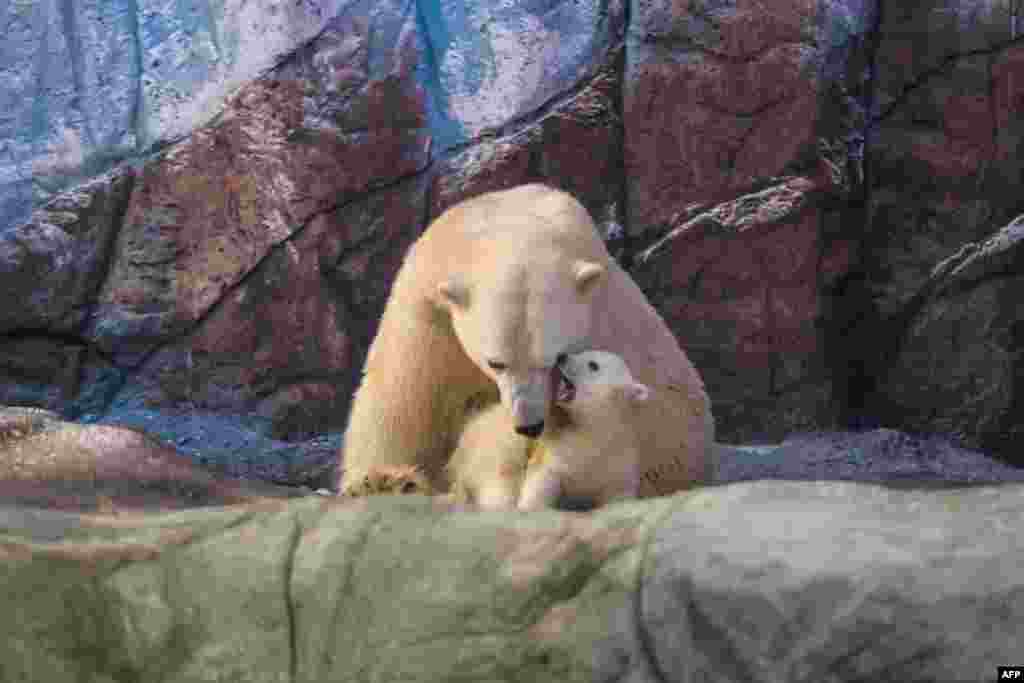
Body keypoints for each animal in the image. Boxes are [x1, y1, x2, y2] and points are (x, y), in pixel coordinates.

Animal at [446, 350, 647, 509]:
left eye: (593, 365)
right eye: (584, 352)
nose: (562, 356)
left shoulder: (617, 460)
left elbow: (618, 495)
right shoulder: (559, 446)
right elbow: (543, 477)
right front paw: (526, 507)